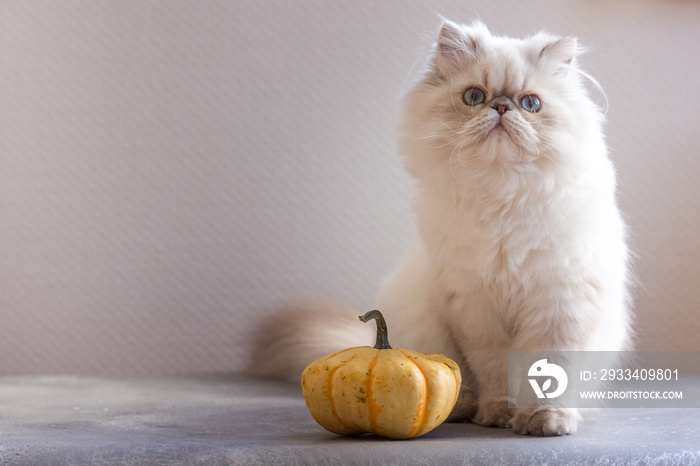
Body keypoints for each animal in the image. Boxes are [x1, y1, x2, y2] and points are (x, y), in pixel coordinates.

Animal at [253, 20, 636, 436]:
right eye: (474, 96)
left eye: (531, 104)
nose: (501, 106)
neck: (500, 194)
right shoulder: (477, 309)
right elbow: (496, 374)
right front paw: (499, 415)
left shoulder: (559, 305)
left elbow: (549, 375)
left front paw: (545, 421)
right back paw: (463, 410)